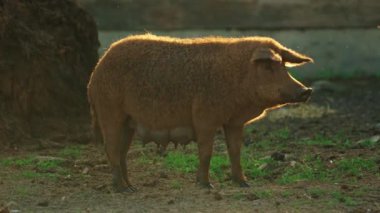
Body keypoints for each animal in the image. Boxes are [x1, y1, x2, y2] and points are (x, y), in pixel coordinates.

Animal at [87, 34, 314, 192]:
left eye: (284, 65)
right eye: (268, 66)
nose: (306, 90)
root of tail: (95, 73)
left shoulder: (233, 122)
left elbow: (235, 151)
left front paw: (244, 184)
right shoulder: (205, 117)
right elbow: (206, 152)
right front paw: (206, 186)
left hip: (128, 122)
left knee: (122, 153)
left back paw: (132, 187)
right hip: (110, 112)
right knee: (111, 150)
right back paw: (122, 189)